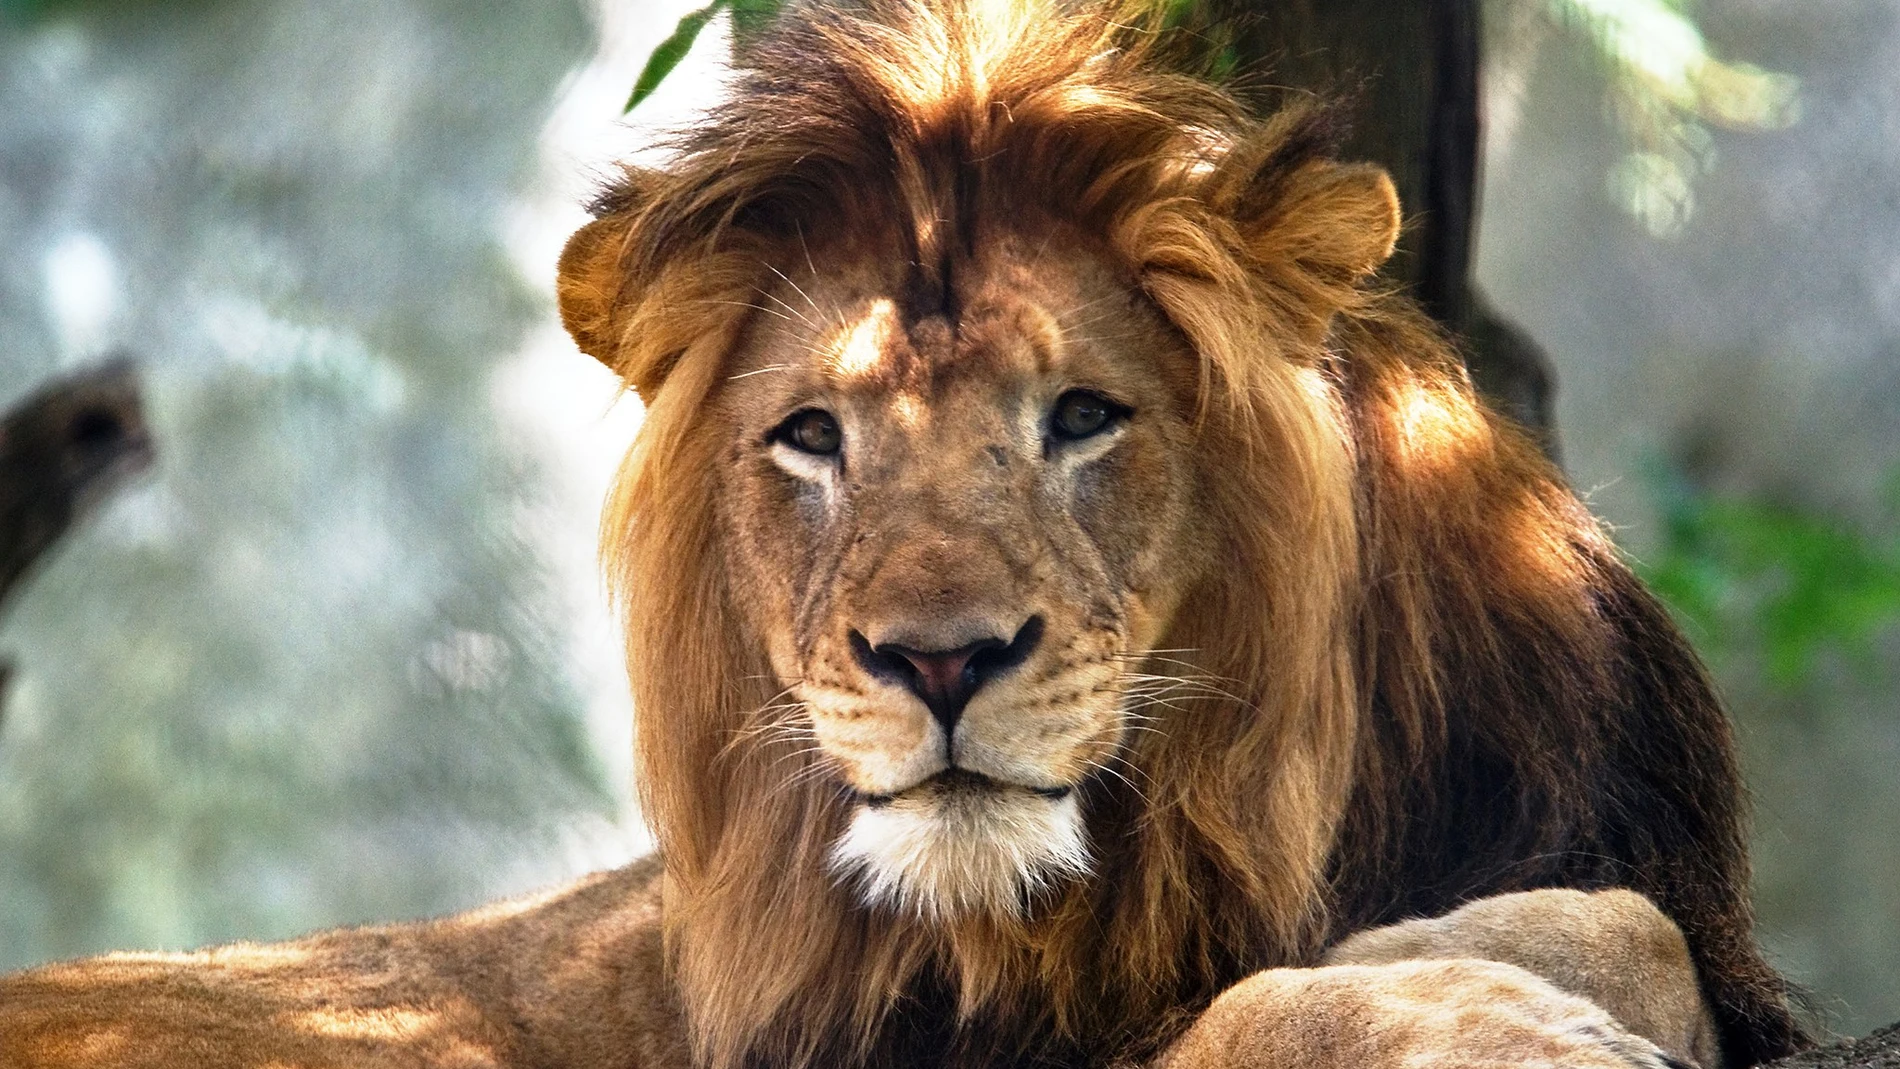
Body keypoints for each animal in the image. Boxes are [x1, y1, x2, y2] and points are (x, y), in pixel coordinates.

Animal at [0, 1, 1807, 1068]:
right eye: (812, 435)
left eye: (1082, 415)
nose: (937, 662)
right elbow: (1242, 1022)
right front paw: (1472, 1016)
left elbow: (1620, 919)